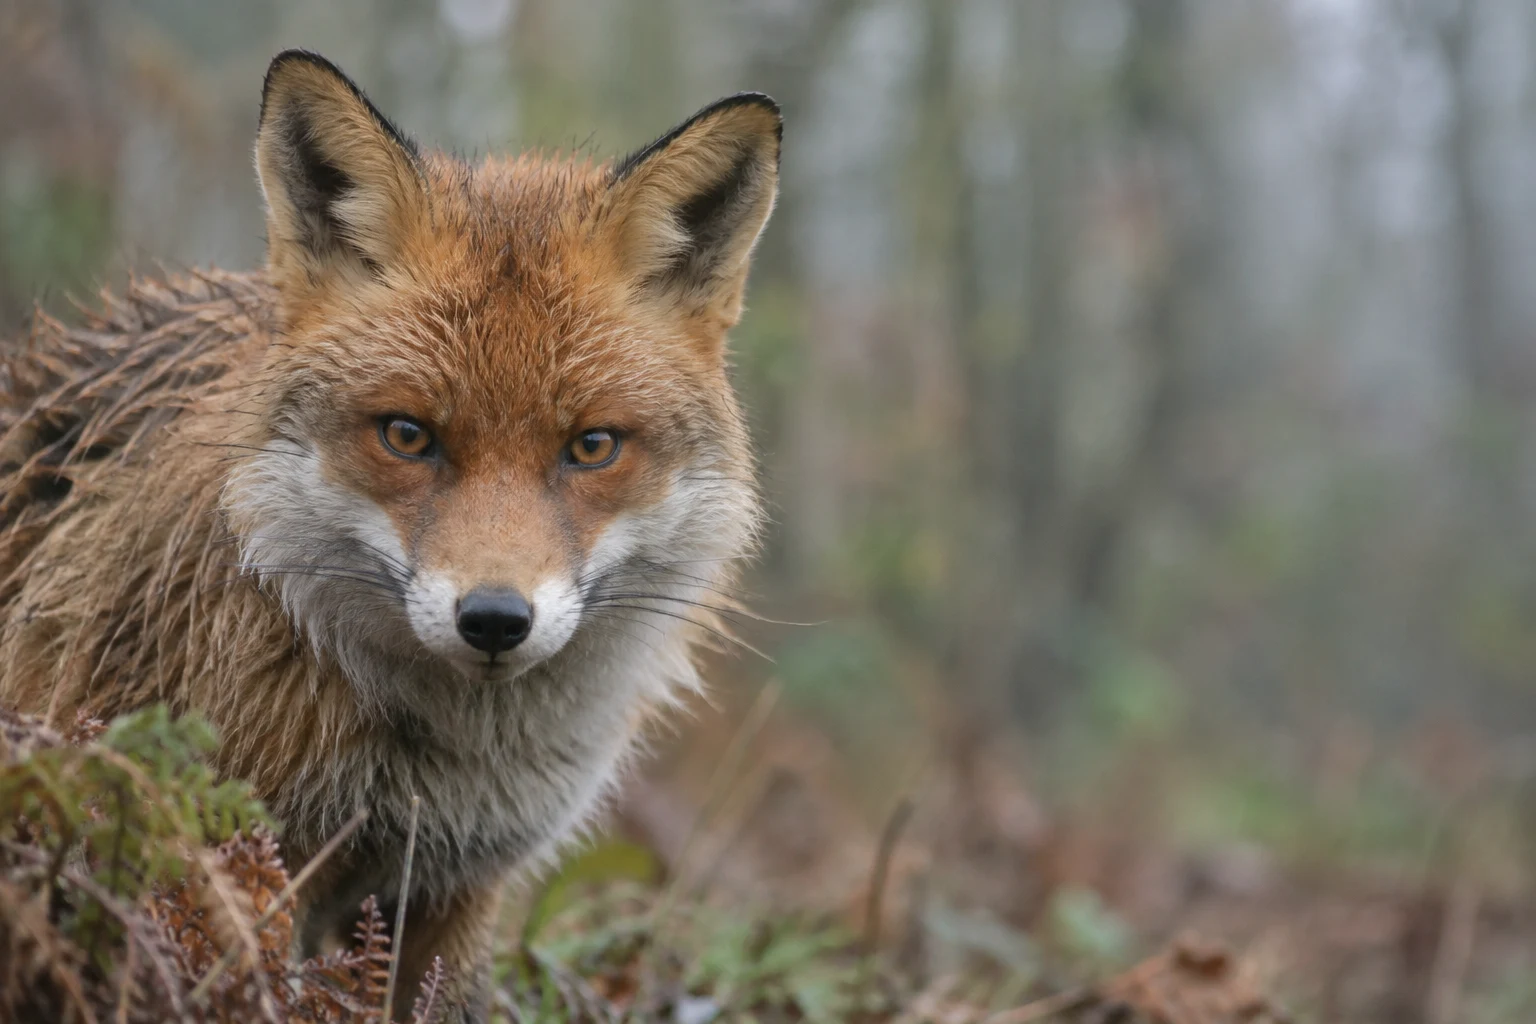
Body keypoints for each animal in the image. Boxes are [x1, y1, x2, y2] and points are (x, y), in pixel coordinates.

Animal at [0, 50, 776, 1018]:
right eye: (408, 435)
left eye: (593, 447)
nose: (494, 619)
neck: (430, 772)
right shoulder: (244, 865)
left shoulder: (452, 895)